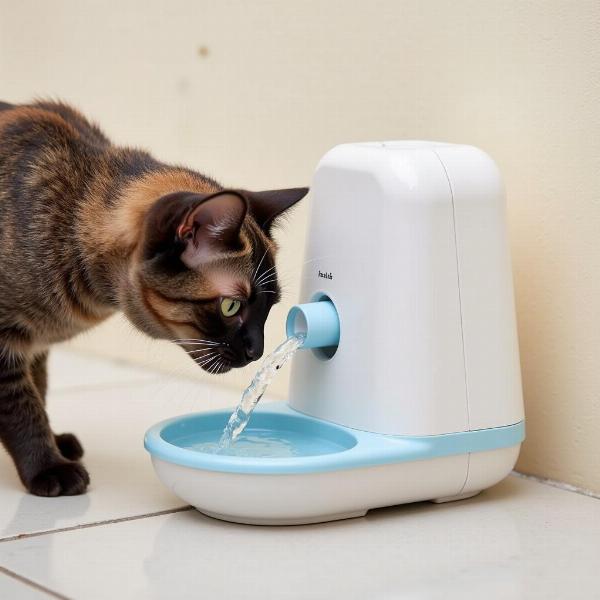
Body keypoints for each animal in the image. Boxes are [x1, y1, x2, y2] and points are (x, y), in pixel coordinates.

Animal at [0, 101, 308, 496]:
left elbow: (38, 391)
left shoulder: (36, 347)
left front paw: (55, 444)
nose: (258, 351)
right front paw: (48, 467)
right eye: (231, 306)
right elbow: (23, 408)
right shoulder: (7, 347)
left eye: (270, 307)